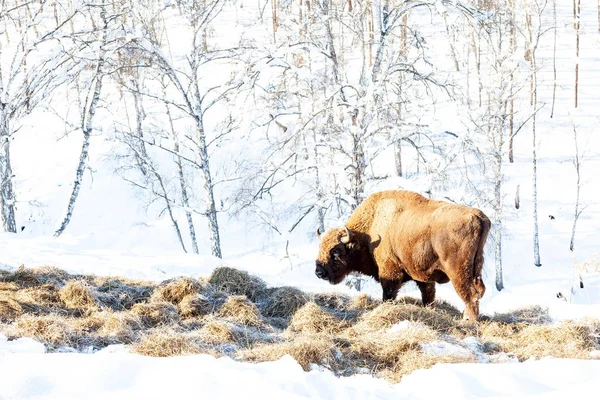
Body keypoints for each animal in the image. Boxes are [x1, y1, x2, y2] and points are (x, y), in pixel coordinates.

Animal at [316, 189, 490, 320]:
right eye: (321, 247)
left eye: (336, 251)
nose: (319, 272)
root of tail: (477, 217)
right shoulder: (423, 277)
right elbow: (428, 295)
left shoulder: (390, 272)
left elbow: (389, 294)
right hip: (476, 268)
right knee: (480, 291)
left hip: (458, 271)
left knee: (470, 294)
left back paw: (467, 320)